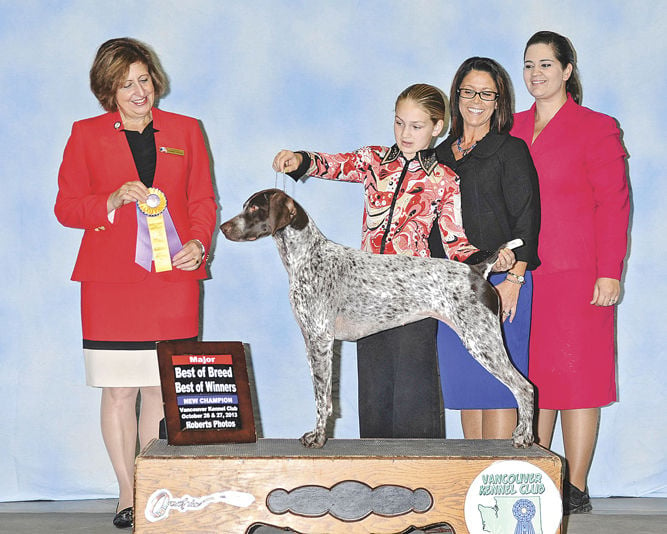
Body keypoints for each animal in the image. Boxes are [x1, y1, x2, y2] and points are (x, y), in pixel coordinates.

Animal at [222, 191, 536, 450]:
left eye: (254, 208)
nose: (224, 227)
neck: (307, 257)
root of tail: (478, 270)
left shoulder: (321, 339)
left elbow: (323, 399)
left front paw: (318, 438)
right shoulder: (313, 340)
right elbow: (320, 395)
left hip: (483, 341)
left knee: (525, 387)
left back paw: (523, 437)